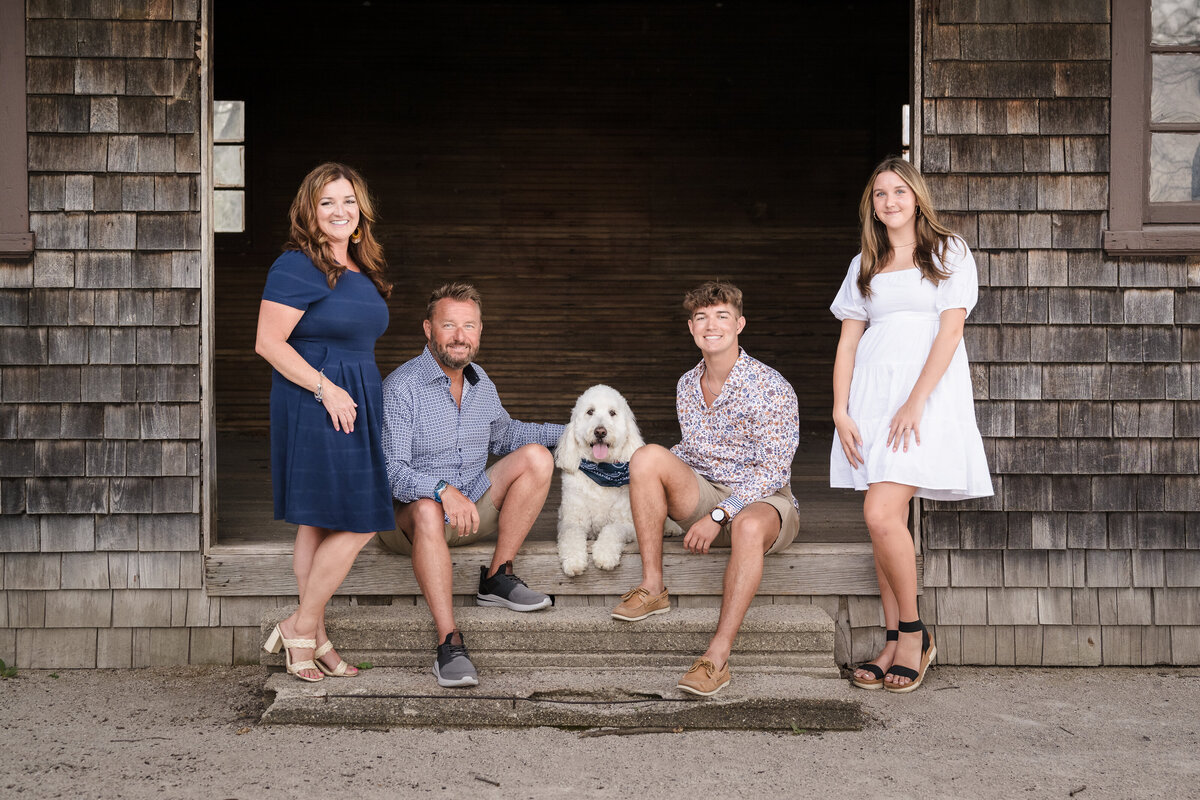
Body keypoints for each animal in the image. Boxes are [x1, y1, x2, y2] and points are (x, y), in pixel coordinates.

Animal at [554, 383, 648, 575]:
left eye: (612, 412)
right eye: (590, 411)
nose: (600, 431)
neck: (602, 470)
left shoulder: (627, 524)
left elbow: (612, 530)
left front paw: (605, 556)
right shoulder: (571, 520)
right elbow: (571, 535)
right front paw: (574, 561)